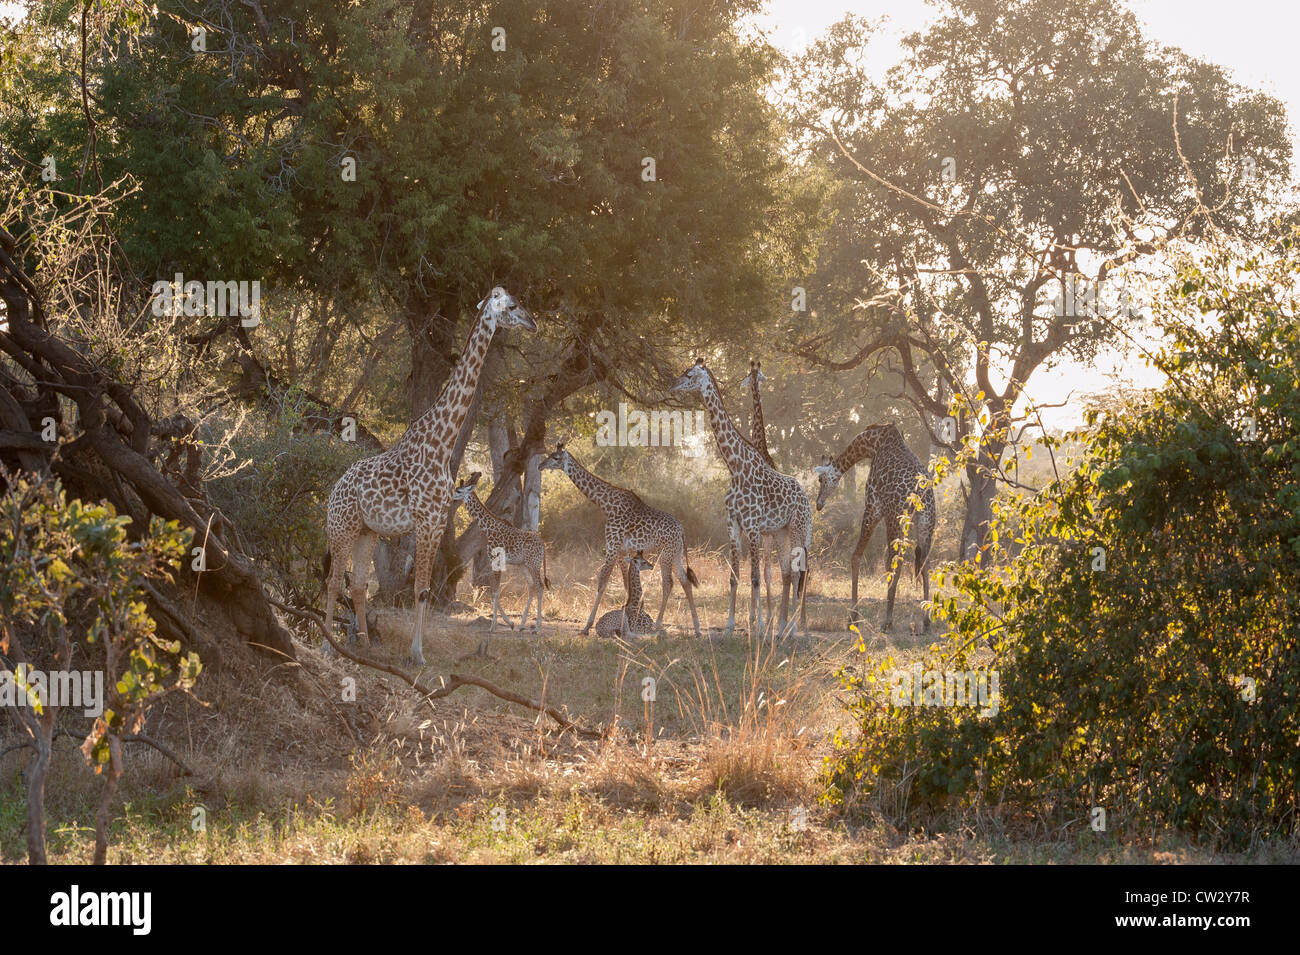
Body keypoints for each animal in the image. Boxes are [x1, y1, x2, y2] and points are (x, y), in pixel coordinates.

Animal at [325, 287, 538, 670]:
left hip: (367, 531)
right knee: (335, 581)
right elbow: (418, 588)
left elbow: (424, 589)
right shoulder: (424, 520)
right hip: (342, 526)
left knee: (359, 585)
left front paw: (418, 651)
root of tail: (332, 491)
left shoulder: (438, 521)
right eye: (512, 305)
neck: (443, 441)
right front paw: (417, 653)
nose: (534, 322)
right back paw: (324, 645)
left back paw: (364, 646)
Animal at [452, 470, 548, 634]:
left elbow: (495, 591)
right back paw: (522, 624)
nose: (451, 497)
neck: (488, 528)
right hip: (523, 564)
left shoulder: (496, 561)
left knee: (540, 586)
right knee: (531, 586)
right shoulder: (494, 562)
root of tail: (543, 544)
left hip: (534, 564)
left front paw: (493, 626)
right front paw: (510, 623)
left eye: (458, 491)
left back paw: (536, 628)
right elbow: (494, 590)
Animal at [538, 441, 702, 639]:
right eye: (549, 455)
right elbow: (625, 584)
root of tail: (682, 531)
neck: (605, 505)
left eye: (555, 457)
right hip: (676, 553)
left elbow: (602, 582)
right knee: (685, 582)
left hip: (666, 553)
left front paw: (587, 626)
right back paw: (697, 629)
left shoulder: (612, 546)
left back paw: (659, 625)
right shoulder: (623, 552)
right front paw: (629, 614)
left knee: (668, 583)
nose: (540, 465)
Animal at [670, 358, 811, 641]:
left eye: (689, 374)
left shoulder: (754, 527)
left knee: (798, 572)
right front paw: (730, 625)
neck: (735, 467)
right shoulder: (733, 524)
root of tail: (805, 497)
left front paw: (757, 626)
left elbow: (756, 577)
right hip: (781, 530)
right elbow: (735, 577)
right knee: (787, 572)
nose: (672, 384)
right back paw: (782, 627)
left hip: (798, 528)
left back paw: (791, 629)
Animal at [811, 423, 935, 634]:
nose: (819, 504)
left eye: (820, 479)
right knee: (924, 563)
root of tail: (920, 494)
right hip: (927, 522)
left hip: (895, 519)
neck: (872, 443)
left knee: (895, 563)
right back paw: (925, 621)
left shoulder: (873, 506)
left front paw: (853, 618)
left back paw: (887, 621)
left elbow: (856, 556)